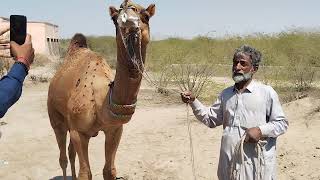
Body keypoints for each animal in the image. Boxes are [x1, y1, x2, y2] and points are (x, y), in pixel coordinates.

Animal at [47, 0, 156, 179]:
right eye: (114, 18)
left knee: (70, 153)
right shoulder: (79, 132)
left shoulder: (115, 130)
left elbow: (109, 171)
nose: (128, 14)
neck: (101, 101)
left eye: (146, 16)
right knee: (63, 156)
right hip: (57, 118)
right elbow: (85, 173)